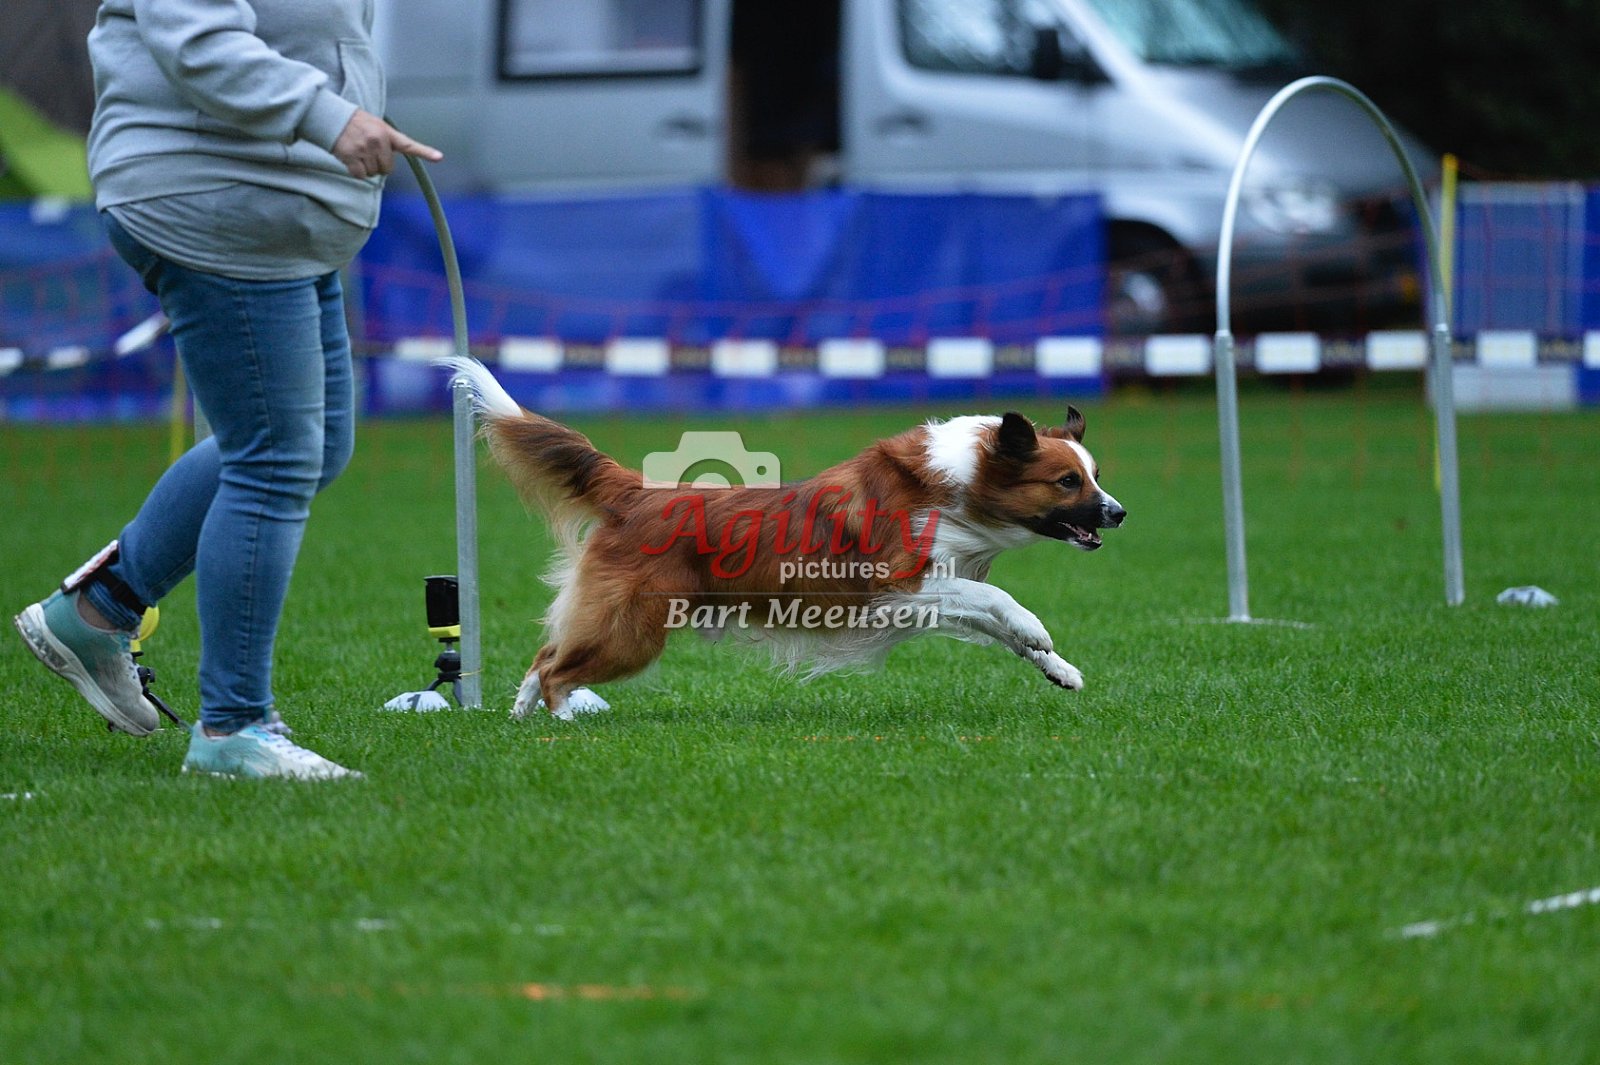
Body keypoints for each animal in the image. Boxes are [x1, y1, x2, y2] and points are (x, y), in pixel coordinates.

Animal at [442, 357, 1125, 720]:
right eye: (1067, 481)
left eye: (1093, 475)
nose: (1118, 513)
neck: (956, 486)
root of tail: (637, 492)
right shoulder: (894, 585)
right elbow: (1001, 603)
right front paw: (1038, 630)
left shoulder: (938, 587)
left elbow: (999, 626)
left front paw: (1059, 670)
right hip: (633, 631)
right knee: (557, 668)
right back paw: (565, 724)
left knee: (543, 656)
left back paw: (522, 722)